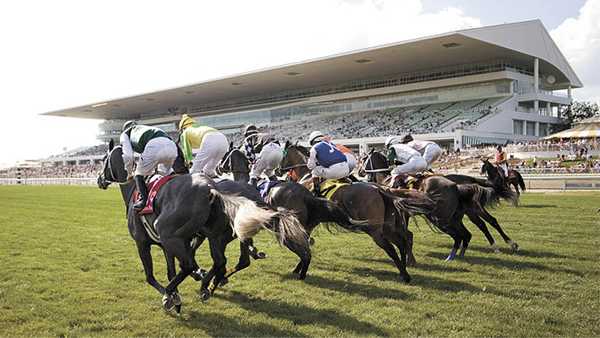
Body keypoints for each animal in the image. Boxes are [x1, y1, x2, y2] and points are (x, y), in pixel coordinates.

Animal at [97, 139, 310, 310]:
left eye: (103, 160)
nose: (99, 179)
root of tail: (211, 189)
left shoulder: (144, 243)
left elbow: (151, 276)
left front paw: (172, 294)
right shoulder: (169, 245)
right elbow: (171, 270)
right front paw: (182, 288)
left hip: (176, 234)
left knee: (197, 263)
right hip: (216, 235)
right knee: (225, 261)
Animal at [282, 142, 436, 280]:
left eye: (283, 156)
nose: (279, 171)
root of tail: (380, 189)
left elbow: (304, 241)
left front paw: (298, 268)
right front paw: (299, 267)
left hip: (375, 230)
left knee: (392, 247)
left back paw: (405, 274)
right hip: (388, 227)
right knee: (402, 242)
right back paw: (405, 268)